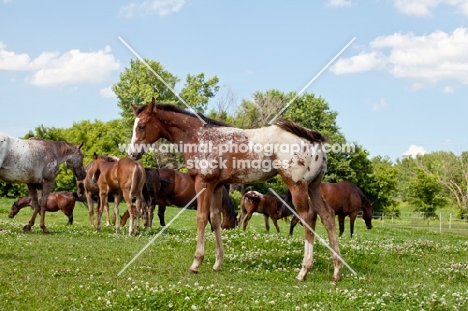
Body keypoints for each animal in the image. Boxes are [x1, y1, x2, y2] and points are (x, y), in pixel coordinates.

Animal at [130, 99, 342, 282]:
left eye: (142, 126)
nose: (132, 153)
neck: (198, 137)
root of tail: (314, 140)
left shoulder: (203, 183)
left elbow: (201, 218)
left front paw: (196, 262)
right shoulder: (216, 186)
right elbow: (215, 220)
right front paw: (217, 263)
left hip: (297, 186)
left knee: (308, 218)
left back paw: (303, 271)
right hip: (313, 187)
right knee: (327, 216)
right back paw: (337, 271)